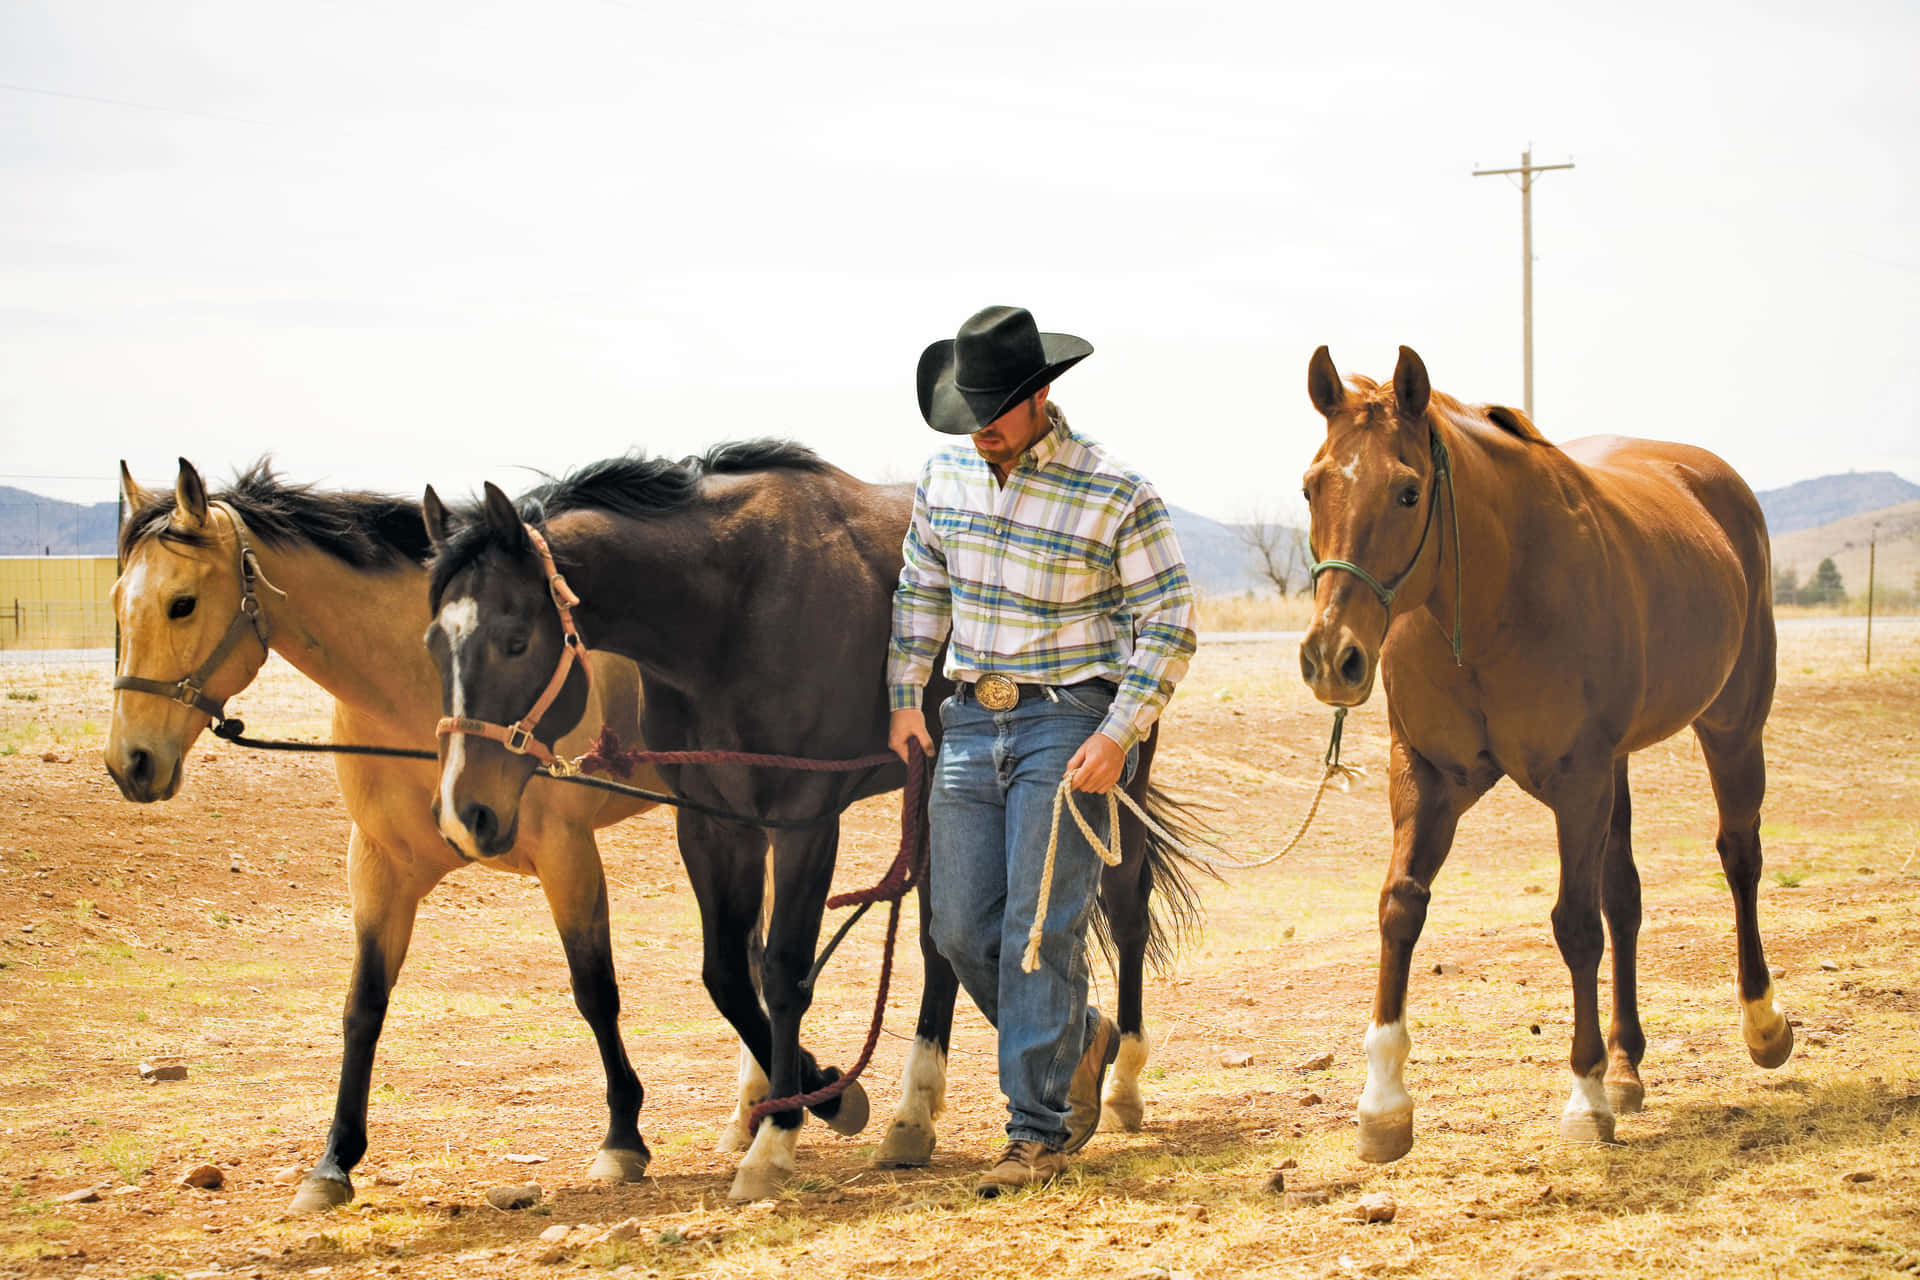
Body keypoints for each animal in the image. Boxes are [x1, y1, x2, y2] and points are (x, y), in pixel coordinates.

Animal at [108, 460, 675, 1212]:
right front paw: (332, 1163)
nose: (131, 762)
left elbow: (595, 991)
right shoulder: (378, 867)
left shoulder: (567, 854)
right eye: (118, 602)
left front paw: (622, 1140)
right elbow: (362, 1008)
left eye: (182, 603)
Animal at [422, 443, 1198, 1205]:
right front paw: (818, 1091)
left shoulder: (805, 820)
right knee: (939, 943)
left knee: (1126, 913)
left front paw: (785, 1131)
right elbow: (728, 974)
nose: (465, 814)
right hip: (936, 801)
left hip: (1110, 783)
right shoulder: (713, 824)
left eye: (516, 641)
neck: (729, 611)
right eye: (432, 642)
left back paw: (1117, 1081)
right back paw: (915, 1117)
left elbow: (785, 971)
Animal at [1297, 347, 1789, 1159]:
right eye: (1311, 486)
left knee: (1738, 857)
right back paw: (1627, 1066)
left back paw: (1762, 1024)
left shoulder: (1576, 782)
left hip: (1731, 727)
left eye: (1407, 491)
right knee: (1626, 896)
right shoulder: (1429, 777)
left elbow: (1575, 925)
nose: (1333, 658)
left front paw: (1584, 1096)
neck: (1491, 603)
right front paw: (1383, 1104)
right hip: (1620, 766)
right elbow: (1400, 906)